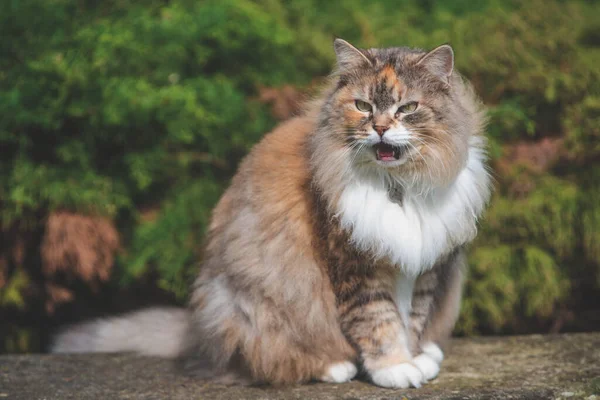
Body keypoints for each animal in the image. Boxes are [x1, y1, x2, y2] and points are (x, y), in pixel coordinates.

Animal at [51, 39, 490, 390]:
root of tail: (198, 328)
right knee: (268, 359)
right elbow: (379, 321)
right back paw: (337, 367)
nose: (380, 128)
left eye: (408, 108)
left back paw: (428, 353)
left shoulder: (425, 268)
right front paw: (394, 369)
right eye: (363, 106)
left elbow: (411, 317)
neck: (396, 187)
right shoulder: (355, 265)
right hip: (257, 307)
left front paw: (413, 357)